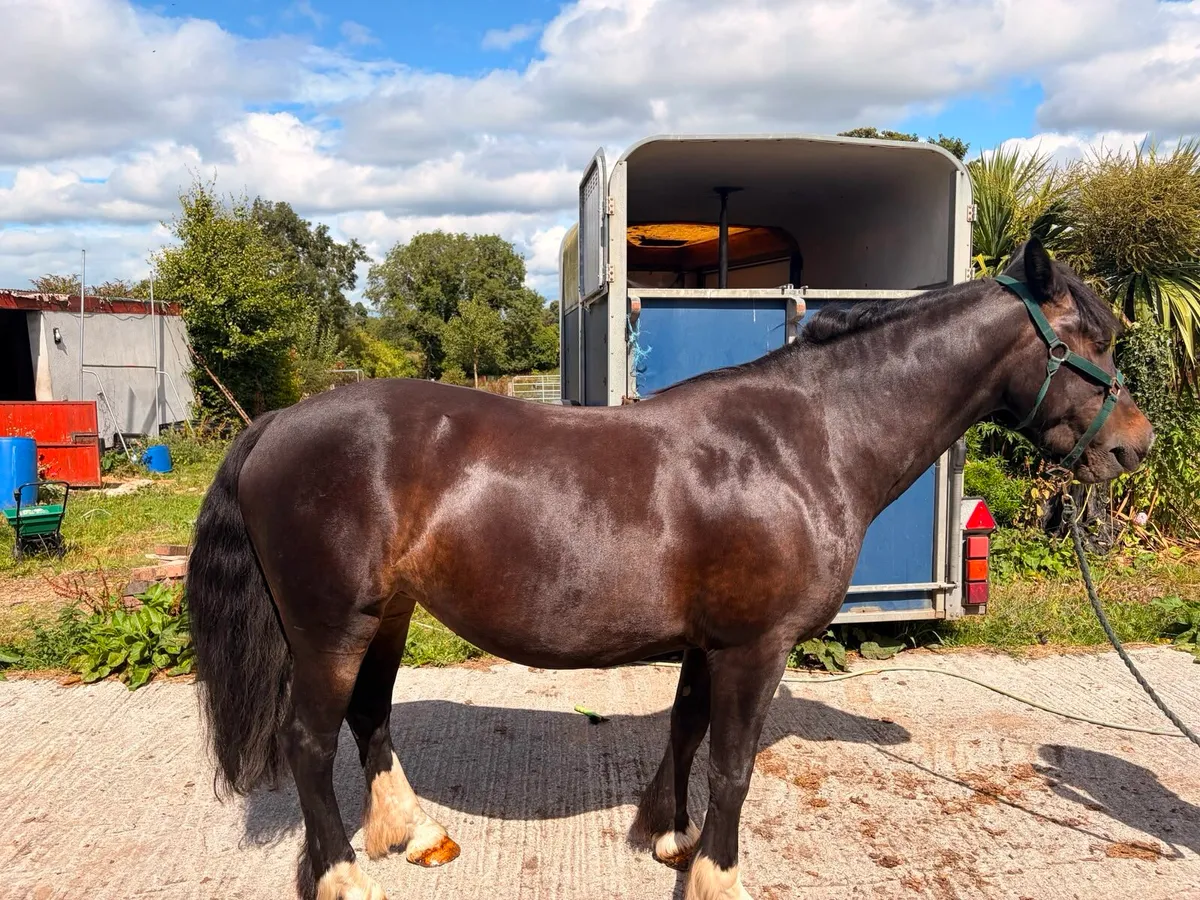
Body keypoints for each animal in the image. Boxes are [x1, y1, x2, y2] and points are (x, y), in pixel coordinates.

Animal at [187, 238, 1153, 900]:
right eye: (1087, 340)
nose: (1135, 446)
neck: (804, 440)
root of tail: (276, 422)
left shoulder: (709, 643)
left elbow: (686, 734)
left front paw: (670, 841)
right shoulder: (756, 647)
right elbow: (734, 765)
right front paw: (719, 876)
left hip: (388, 614)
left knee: (370, 718)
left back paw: (414, 834)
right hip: (331, 625)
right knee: (310, 743)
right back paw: (347, 876)